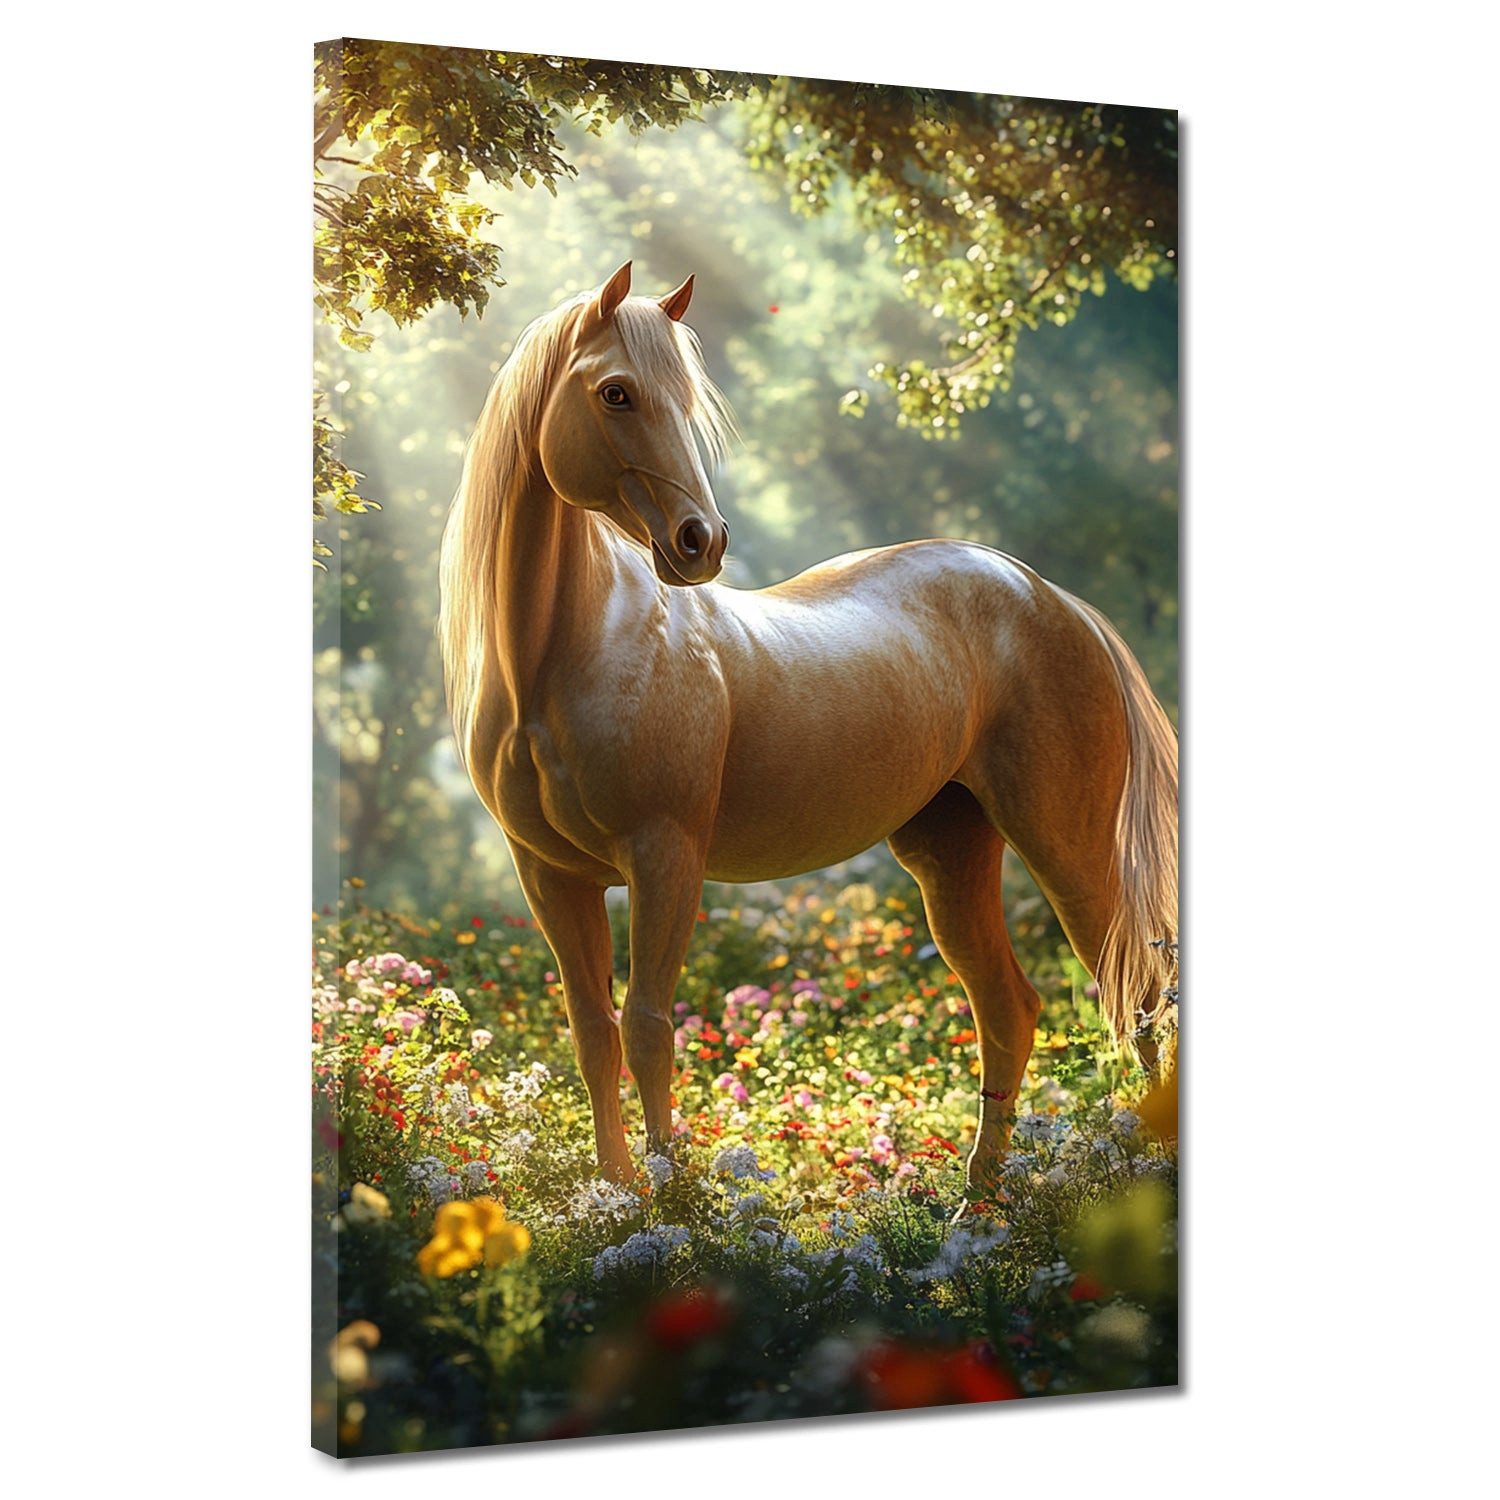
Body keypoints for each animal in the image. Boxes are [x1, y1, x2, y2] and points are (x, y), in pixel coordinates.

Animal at [439, 261, 1178, 1192]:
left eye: (688, 400)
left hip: (1066, 847)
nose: (700, 542)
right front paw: (616, 1198)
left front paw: (669, 1205)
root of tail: (1049, 595)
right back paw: (976, 1207)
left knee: (1141, 987)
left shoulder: (665, 859)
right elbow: (594, 1037)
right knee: (1010, 1008)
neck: (571, 653)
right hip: (950, 852)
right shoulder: (552, 877)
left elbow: (647, 1028)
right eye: (616, 393)